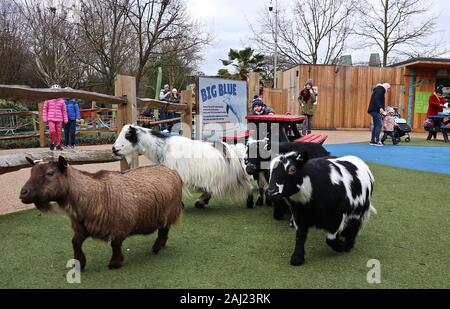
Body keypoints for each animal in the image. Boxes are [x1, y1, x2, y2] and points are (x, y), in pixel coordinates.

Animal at [19, 155, 183, 268]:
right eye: (31, 172)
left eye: (50, 173)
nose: (23, 193)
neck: (93, 194)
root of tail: (172, 171)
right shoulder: (81, 227)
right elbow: (75, 243)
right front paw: (80, 263)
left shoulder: (120, 226)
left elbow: (115, 245)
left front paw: (115, 263)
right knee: (164, 231)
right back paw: (160, 246)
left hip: (169, 212)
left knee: (164, 230)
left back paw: (156, 247)